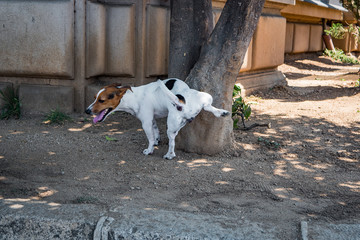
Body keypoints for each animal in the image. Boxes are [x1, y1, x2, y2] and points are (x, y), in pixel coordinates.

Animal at [86, 78, 229, 158]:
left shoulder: (146, 123)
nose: (87, 111)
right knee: (208, 107)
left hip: (171, 126)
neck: (133, 97)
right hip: (205, 97)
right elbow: (155, 132)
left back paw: (169, 155)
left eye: (101, 100)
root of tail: (181, 102)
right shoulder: (152, 120)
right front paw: (156, 141)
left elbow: (150, 139)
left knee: (172, 143)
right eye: (94, 98)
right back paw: (221, 112)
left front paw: (149, 150)